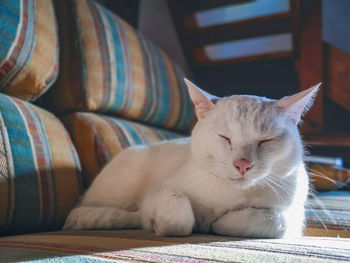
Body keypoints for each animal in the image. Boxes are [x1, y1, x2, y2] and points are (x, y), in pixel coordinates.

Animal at [63, 80, 320, 239]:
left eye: (265, 141)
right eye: (224, 137)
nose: (243, 164)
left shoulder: (293, 215)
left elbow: (274, 221)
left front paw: (220, 223)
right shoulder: (159, 194)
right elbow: (179, 215)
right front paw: (165, 224)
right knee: (84, 209)